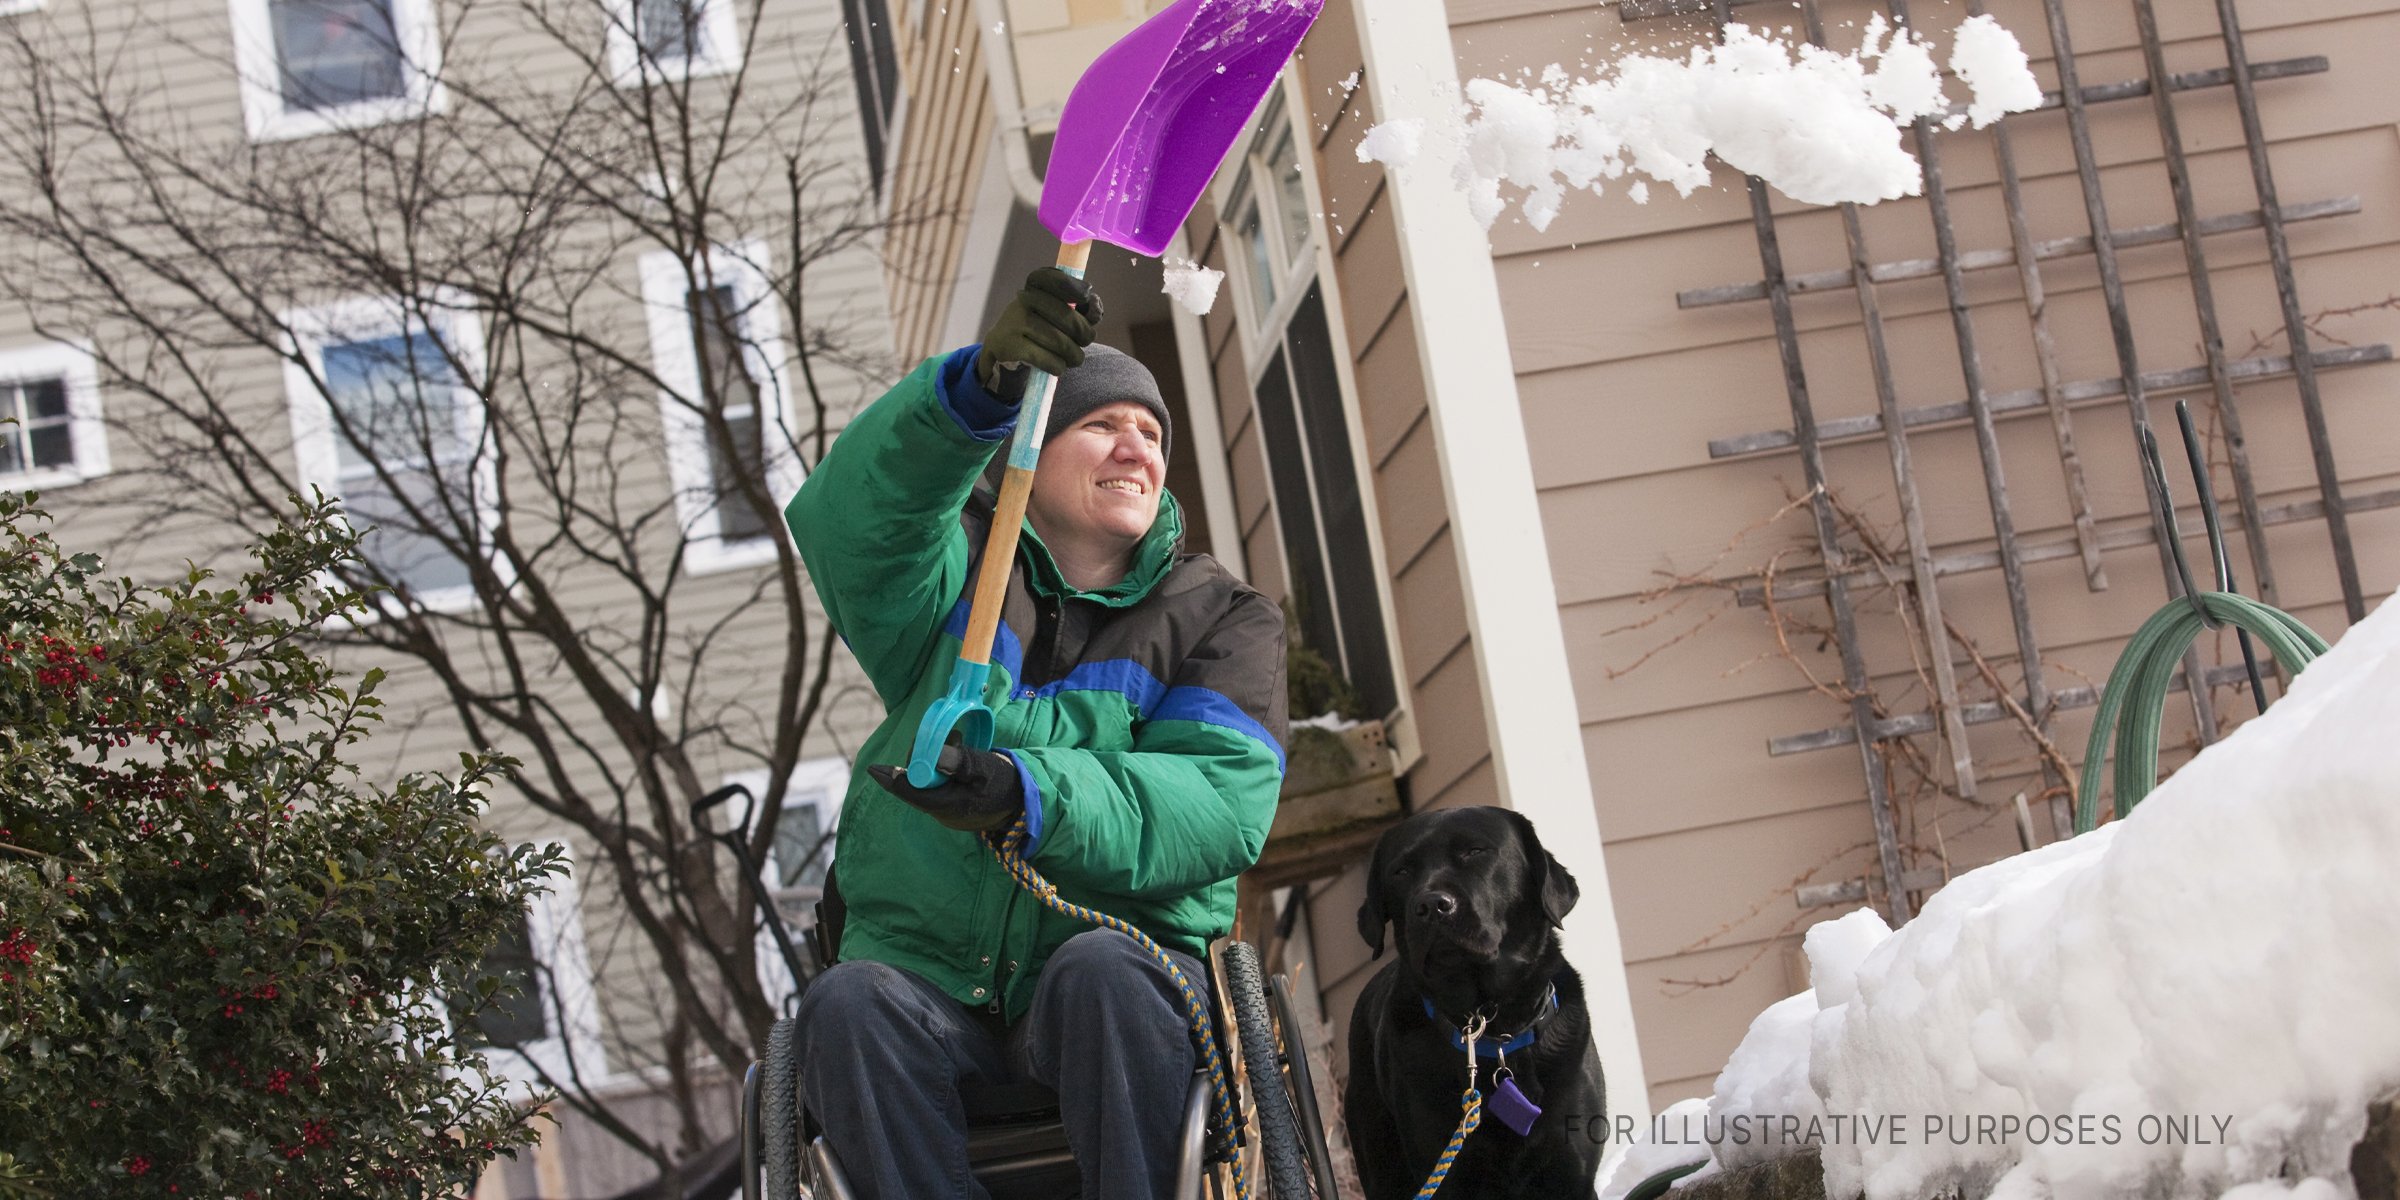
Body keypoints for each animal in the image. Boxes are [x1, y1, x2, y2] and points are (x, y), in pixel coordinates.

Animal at [1344, 806, 1603, 1200]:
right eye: (1401, 871)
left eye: (1475, 851)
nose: (1431, 905)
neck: (1493, 1031)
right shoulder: (1447, 1174)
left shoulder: (1572, 1173)